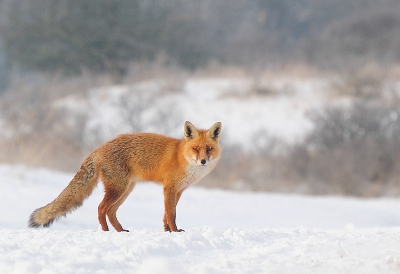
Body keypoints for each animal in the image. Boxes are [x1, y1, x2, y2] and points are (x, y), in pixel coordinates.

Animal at [28, 121, 222, 231]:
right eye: (195, 149)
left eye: (209, 149)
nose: (203, 161)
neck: (182, 157)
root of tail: (99, 148)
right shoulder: (169, 188)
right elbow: (171, 214)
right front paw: (174, 231)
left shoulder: (178, 191)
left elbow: (166, 214)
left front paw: (167, 231)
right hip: (118, 189)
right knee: (101, 208)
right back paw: (106, 231)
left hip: (126, 190)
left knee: (110, 211)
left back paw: (120, 231)